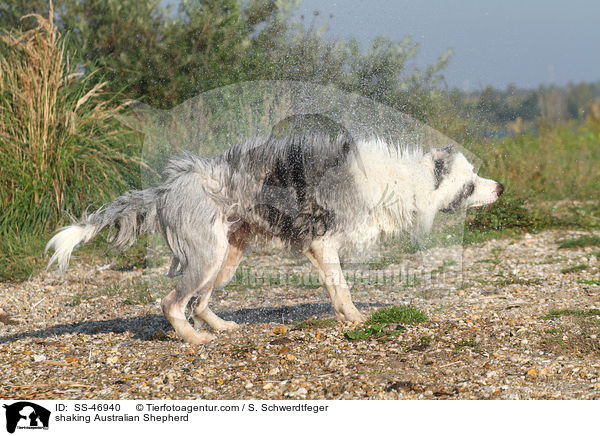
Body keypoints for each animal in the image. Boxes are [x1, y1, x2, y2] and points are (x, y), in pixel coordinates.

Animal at [45, 115, 502, 344]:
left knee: (200, 302)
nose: (499, 187)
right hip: (206, 256)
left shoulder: (322, 250)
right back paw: (194, 340)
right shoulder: (323, 243)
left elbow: (335, 287)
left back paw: (220, 328)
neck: (405, 181)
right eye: (469, 185)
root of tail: (167, 188)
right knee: (172, 303)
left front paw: (345, 317)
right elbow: (342, 287)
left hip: (227, 257)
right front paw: (355, 318)